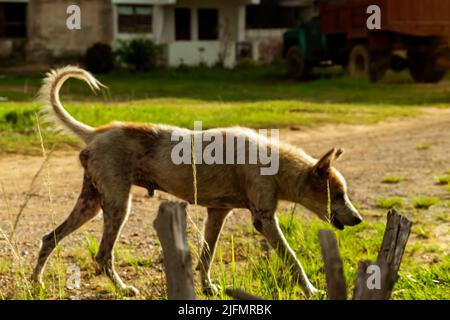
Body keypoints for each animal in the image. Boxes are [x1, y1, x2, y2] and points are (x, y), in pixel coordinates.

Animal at [31, 65, 362, 298]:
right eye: (339, 194)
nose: (358, 219)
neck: (275, 164)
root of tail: (96, 133)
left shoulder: (217, 214)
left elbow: (206, 257)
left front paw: (208, 288)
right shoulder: (265, 221)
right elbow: (293, 260)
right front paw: (312, 290)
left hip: (92, 204)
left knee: (50, 238)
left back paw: (36, 285)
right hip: (117, 207)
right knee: (102, 256)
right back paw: (123, 290)